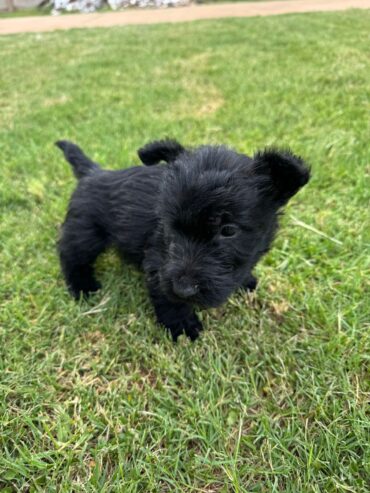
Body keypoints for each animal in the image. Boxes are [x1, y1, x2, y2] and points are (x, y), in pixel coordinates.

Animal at [55, 137, 310, 338]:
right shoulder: (159, 264)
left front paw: (246, 281)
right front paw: (183, 325)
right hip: (85, 234)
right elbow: (168, 298)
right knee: (70, 254)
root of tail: (93, 172)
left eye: (228, 230)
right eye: (170, 224)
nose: (183, 288)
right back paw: (82, 287)